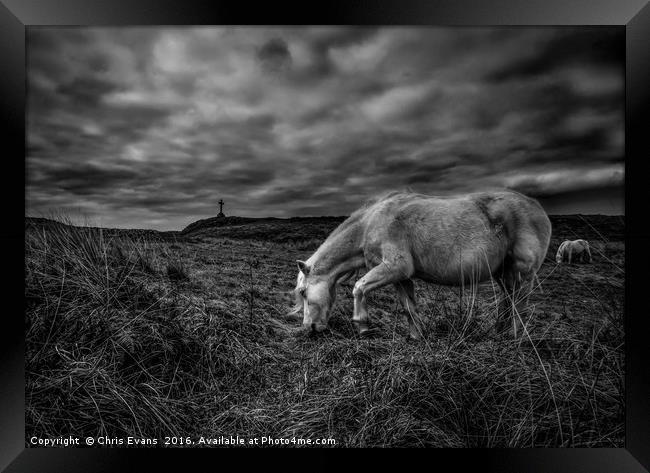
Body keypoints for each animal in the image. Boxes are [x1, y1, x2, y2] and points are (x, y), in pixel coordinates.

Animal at [292, 189, 548, 340]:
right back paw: (499, 333)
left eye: (303, 292)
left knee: (519, 306)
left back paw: (512, 338)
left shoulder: (395, 267)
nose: (309, 327)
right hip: (504, 274)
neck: (370, 224)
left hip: (522, 273)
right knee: (507, 302)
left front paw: (362, 324)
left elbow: (359, 287)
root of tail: (538, 207)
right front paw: (417, 337)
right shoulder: (400, 277)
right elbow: (409, 307)